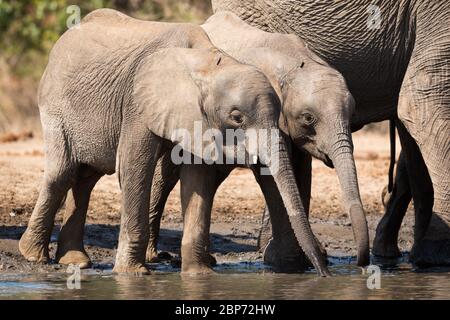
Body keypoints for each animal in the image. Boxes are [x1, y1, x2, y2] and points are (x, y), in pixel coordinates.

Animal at [18, 9, 330, 276]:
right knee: (63, 173)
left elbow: (197, 179)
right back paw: (33, 255)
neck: (206, 62)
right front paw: (133, 274)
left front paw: (199, 275)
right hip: (55, 105)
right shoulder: (139, 102)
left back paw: (75, 261)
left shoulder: (196, 118)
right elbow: (134, 167)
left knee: (86, 177)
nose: (323, 272)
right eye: (237, 117)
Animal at [147, 10, 370, 270]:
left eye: (352, 115)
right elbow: (270, 174)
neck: (295, 64)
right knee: (168, 173)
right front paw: (287, 263)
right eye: (308, 118)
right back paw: (155, 256)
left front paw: (301, 260)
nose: (360, 263)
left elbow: (301, 172)